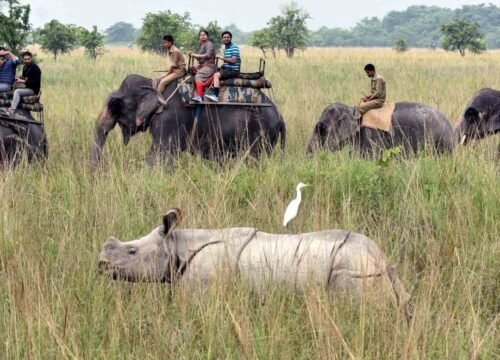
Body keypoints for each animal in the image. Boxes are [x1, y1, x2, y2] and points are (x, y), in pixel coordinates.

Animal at [90, 76, 286, 167]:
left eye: (114, 106)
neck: (154, 84)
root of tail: (281, 118)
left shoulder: (169, 120)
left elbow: (160, 156)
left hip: (260, 135)